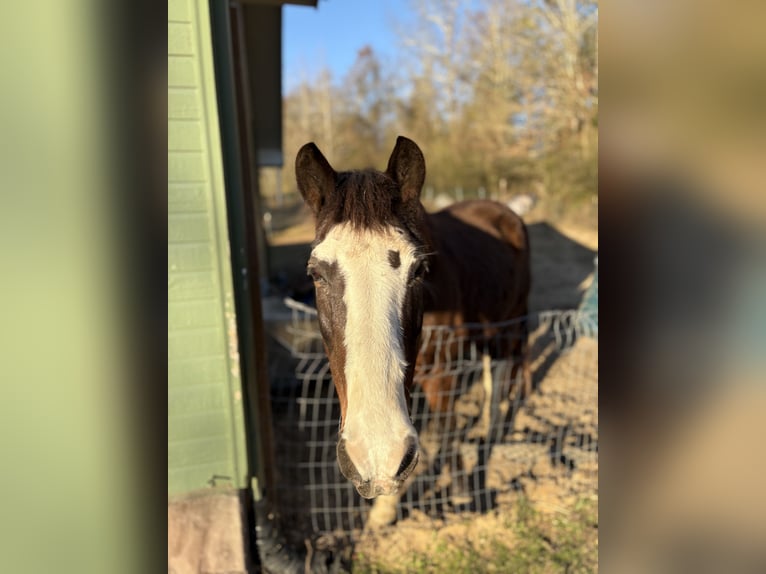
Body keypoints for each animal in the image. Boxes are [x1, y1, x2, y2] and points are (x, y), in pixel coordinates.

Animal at [296, 136, 536, 508]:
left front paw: (462, 490)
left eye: (419, 271)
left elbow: (446, 427)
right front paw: (384, 510)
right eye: (315, 274)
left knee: (503, 365)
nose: (376, 456)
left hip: (510, 319)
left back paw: (494, 426)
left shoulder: (443, 372)